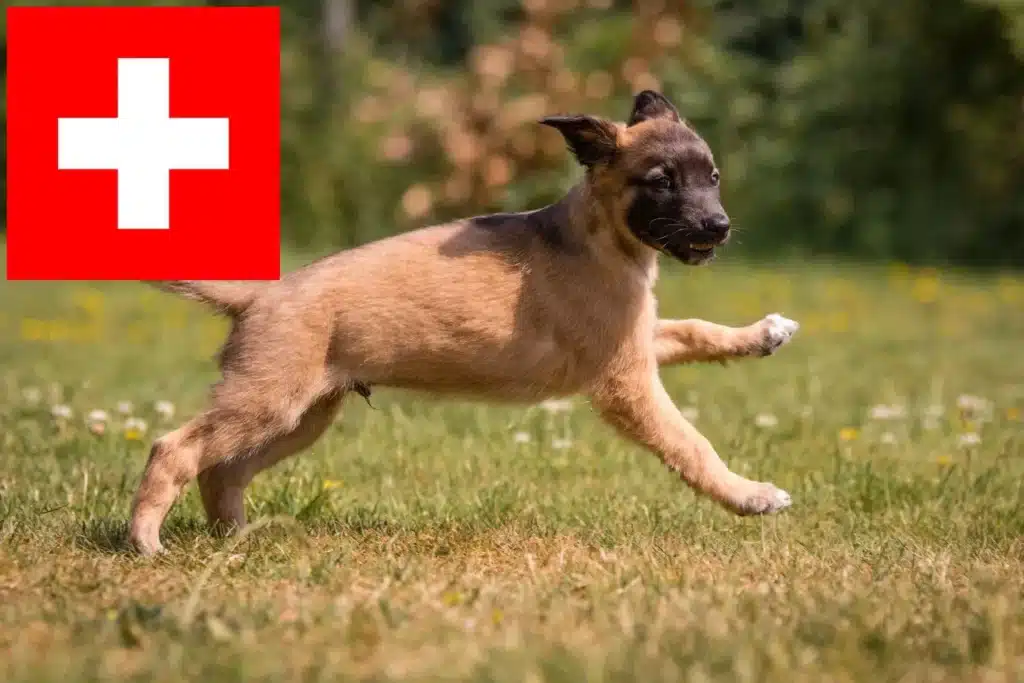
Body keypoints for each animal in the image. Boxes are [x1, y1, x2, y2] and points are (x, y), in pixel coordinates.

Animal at [130, 89, 798, 557]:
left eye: (713, 177)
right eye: (661, 183)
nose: (718, 228)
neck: (601, 236)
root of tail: (262, 295)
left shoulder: (636, 341)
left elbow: (696, 331)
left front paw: (762, 334)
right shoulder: (624, 381)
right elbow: (692, 444)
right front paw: (749, 495)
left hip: (300, 416)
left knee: (222, 469)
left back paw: (236, 539)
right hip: (267, 401)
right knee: (174, 448)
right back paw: (145, 541)